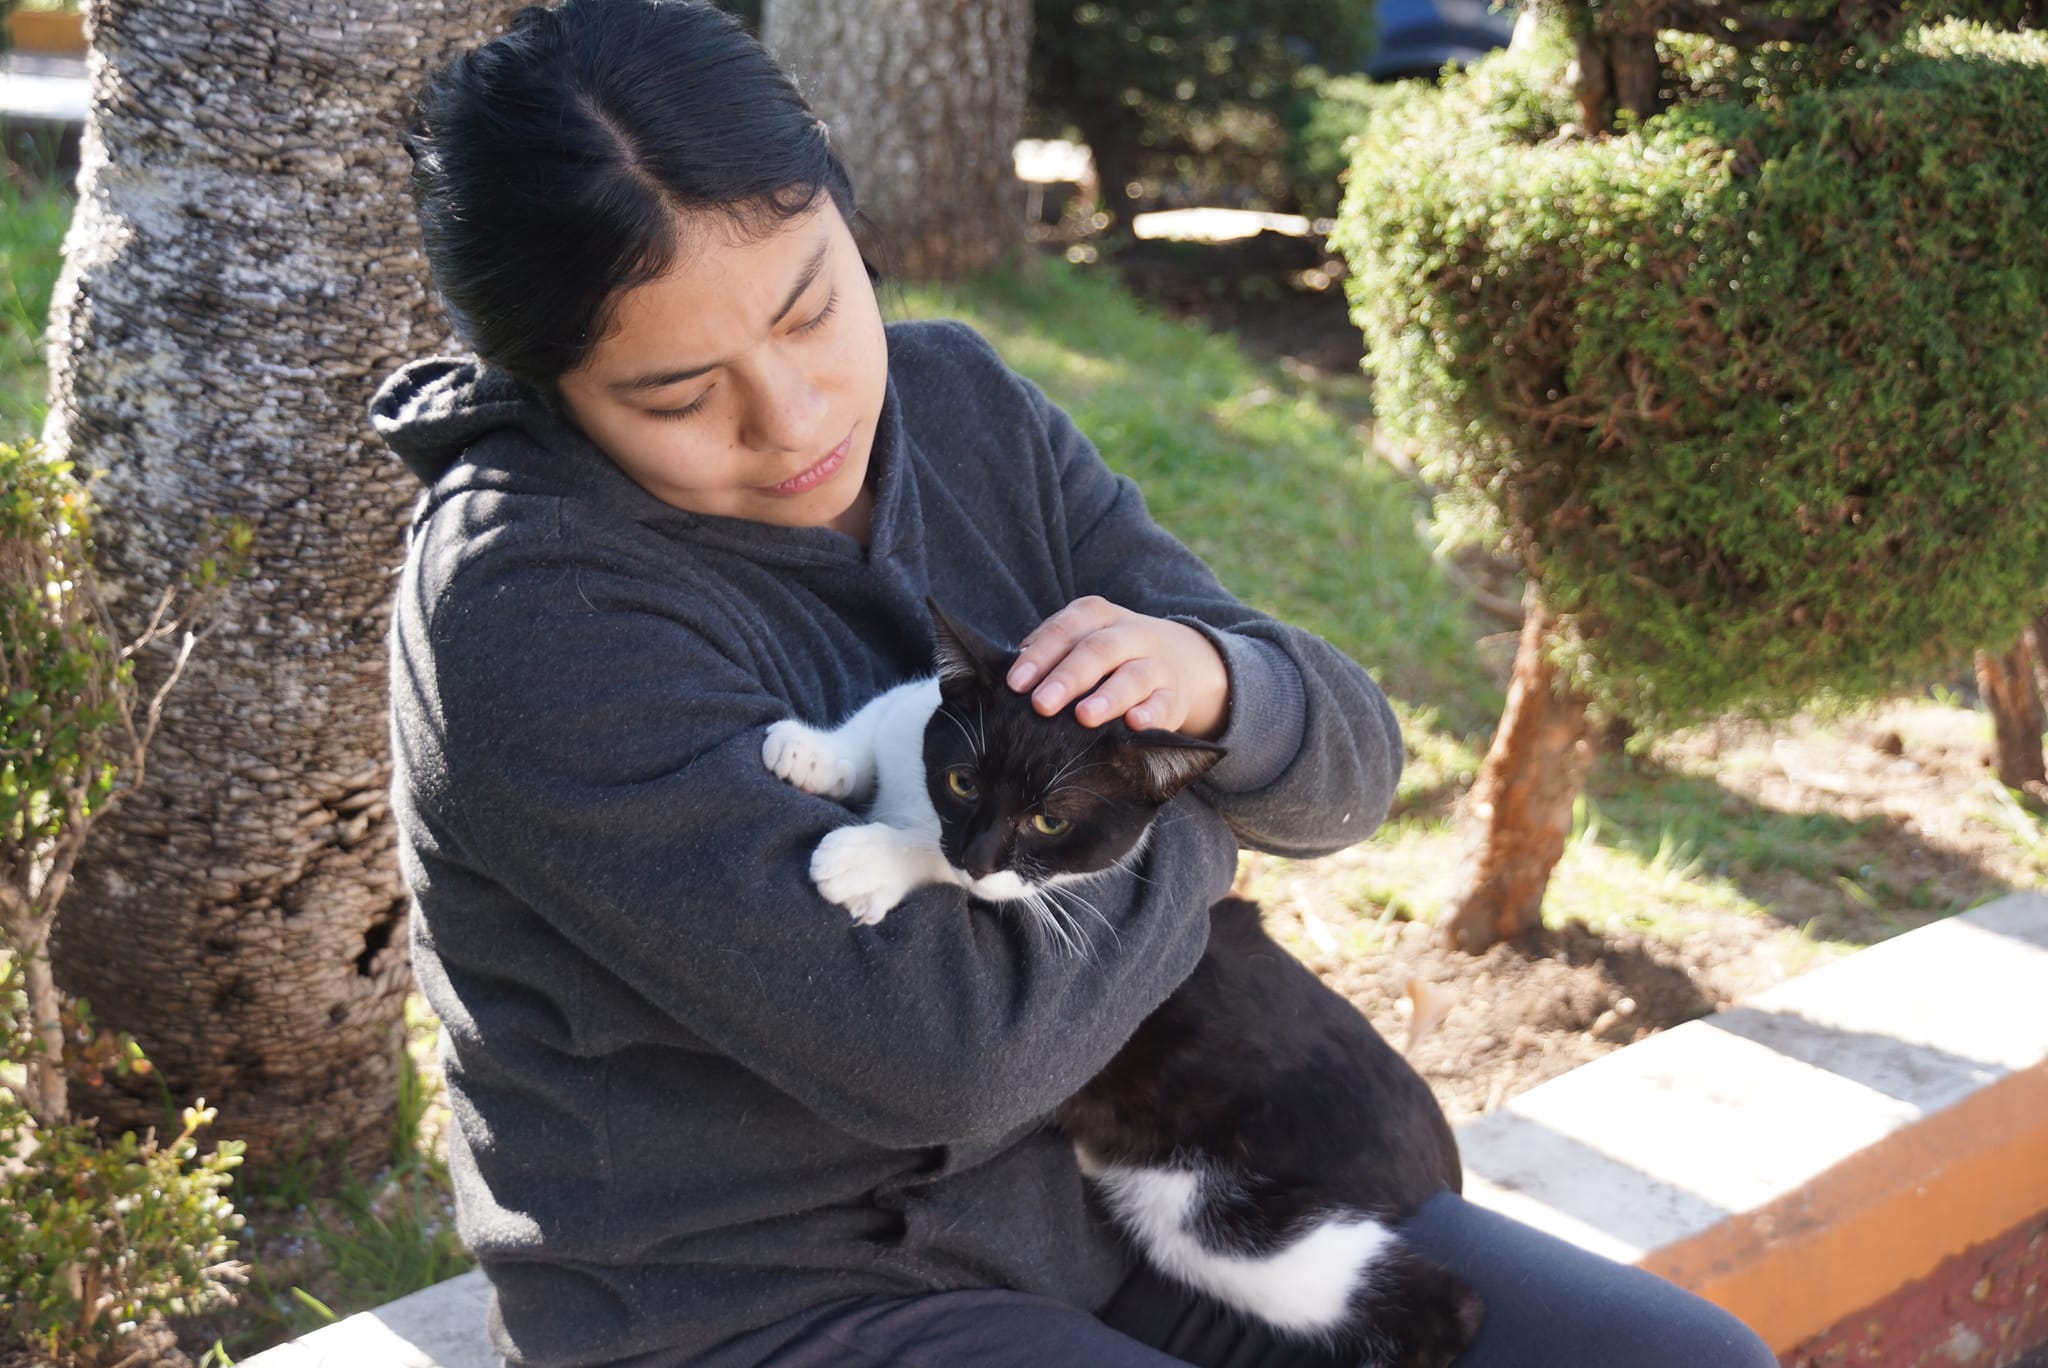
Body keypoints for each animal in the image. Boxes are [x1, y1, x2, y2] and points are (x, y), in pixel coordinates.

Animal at [770, 602, 1490, 1368]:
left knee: (1437, 1304)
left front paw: (870, 860)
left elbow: (963, 876)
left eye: (1050, 820)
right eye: (962, 782)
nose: (977, 852)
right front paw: (814, 753)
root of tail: (1436, 1148)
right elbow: (888, 716)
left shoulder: (1042, 898)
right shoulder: (923, 729)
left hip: (1221, 1214)